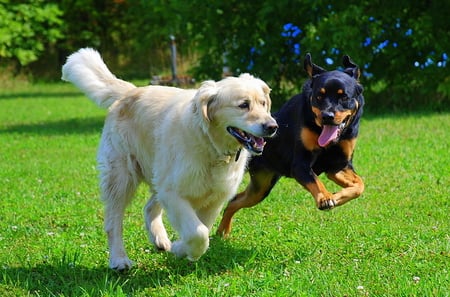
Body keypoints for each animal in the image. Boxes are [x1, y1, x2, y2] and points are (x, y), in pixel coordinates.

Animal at [218, 53, 366, 237]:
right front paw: (325, 197)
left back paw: (222, 232)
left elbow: (359, 185)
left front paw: (338, 196)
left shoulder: (338, 166)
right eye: (319, 96)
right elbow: (316, 181)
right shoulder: (300, 164)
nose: (327, 116)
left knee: (235, 200)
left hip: (261, 186)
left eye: (344, 97)